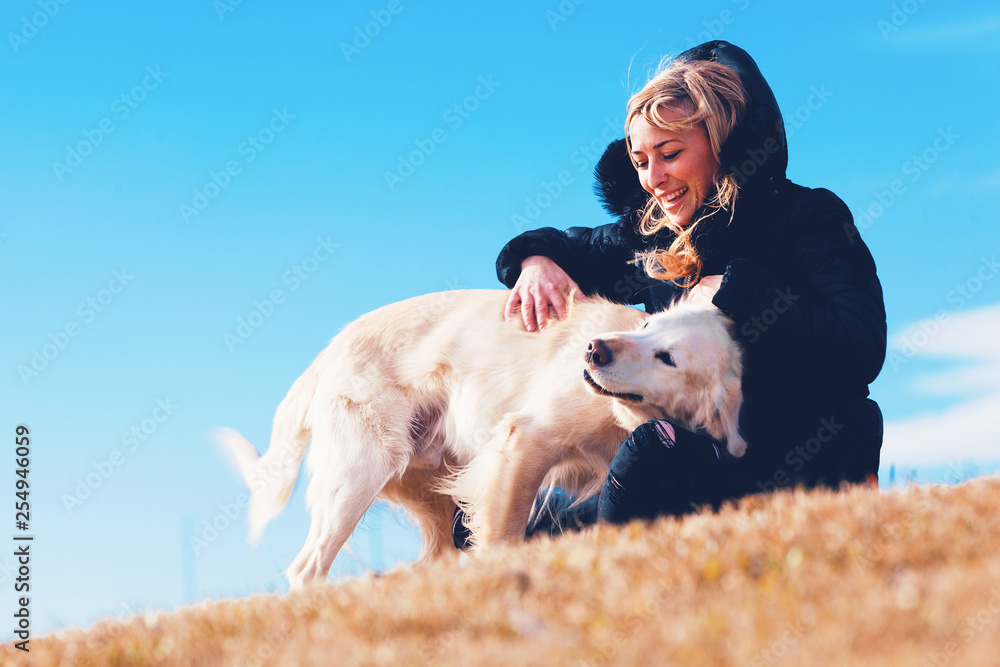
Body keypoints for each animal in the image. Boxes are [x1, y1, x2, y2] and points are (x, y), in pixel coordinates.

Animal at [223, 290, 748, 588]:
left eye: (667, 357)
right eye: (645, 325)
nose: (593, 350)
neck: (621, 415)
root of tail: (333, 345)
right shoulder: (525, 441)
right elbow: (504, 534)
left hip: (433, 496)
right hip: (358, 476)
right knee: (307, 569)